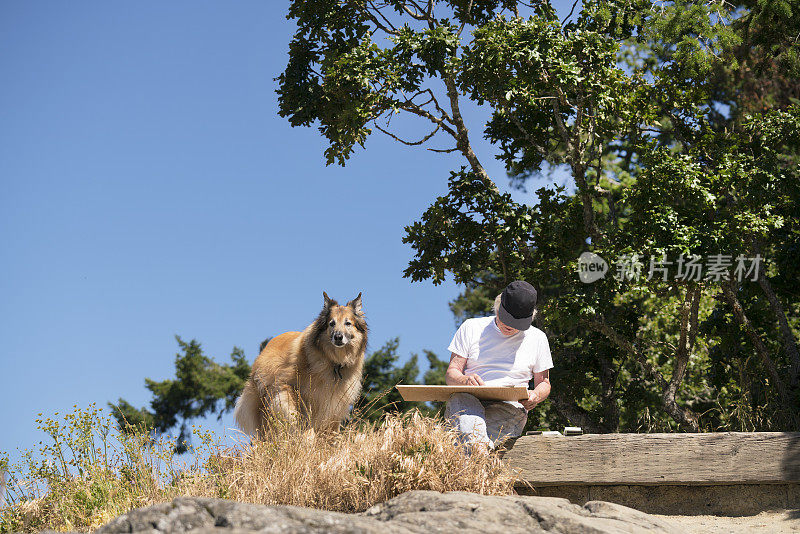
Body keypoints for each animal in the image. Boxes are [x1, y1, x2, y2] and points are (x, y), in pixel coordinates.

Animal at [233, 294, 368, 440]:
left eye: (348, 323)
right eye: (331, 323)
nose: (338, 337)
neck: (333, 362)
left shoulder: (335, 404)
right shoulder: (287, 388)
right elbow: (298, 416)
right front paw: (306, 436)